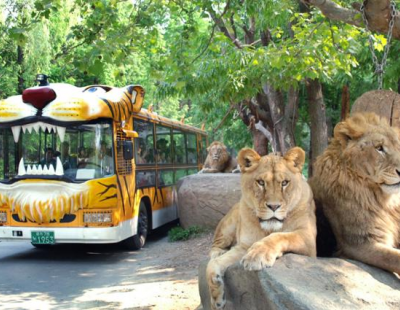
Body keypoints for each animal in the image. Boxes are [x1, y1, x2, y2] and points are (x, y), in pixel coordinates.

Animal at [206, 147, 316, 308]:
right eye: (260, 182)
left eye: (284, 183)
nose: (274, 206)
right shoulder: (244, 245)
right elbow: (213, 264)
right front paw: (216, 302)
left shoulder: (309, 240)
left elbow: (282, 235)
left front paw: (258, 254)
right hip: (228, 224)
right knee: (215, 245)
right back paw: (218, 252)